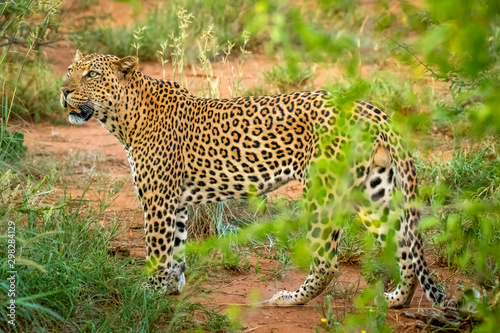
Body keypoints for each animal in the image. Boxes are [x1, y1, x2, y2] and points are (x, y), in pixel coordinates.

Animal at [60, 50, 452, 308]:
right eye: (68, 70)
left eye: (91, 75)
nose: (63, 91)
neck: (124, 117)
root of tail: (373, 109)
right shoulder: (178, 204)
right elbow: (177, 248)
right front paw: (172, 287)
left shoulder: (158, 200)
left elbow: (158, 250)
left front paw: (148, 290)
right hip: (375, 191)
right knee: (405, 248)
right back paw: (397, 300)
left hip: (323, 192)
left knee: (328, 262)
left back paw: (290, 299)